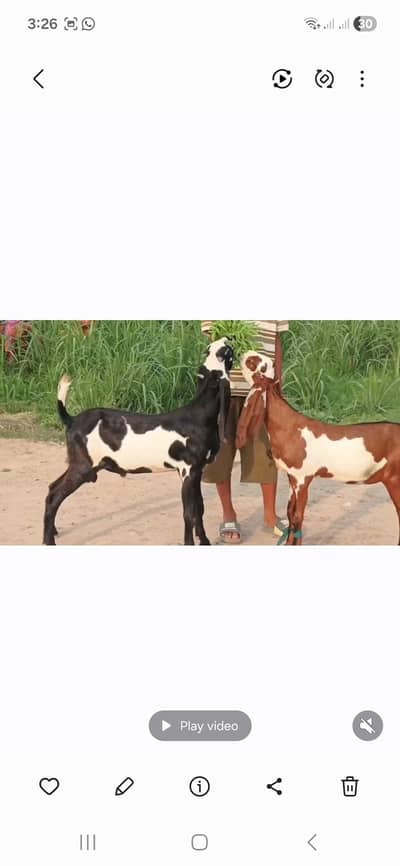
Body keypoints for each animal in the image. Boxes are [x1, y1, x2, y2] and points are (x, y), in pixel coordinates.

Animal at [43, 339, 233, 546]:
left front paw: (205, 541)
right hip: (83, 467)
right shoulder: (187, 471)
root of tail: (72, 420)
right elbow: (189, 513)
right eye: (223, 354)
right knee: (54, 497)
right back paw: (48, 540)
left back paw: (52, 531)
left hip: (79, 464)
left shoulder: (197, 471)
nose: (225, 340)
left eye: (213, 351)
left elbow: (200, 509)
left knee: (52, 488)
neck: (198, 416)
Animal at [236, 352, 400, 545]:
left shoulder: (303, 478)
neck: (290, 427)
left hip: (395, 479)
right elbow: (290, 513)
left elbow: (298, 516)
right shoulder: (292, 477)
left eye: (256, 363)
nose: (242, 354)